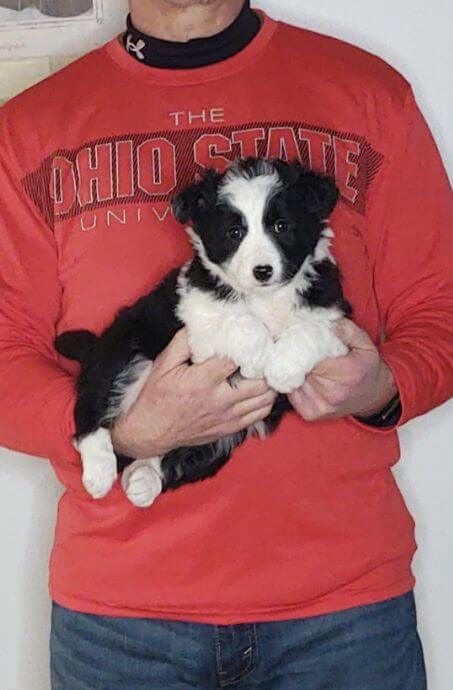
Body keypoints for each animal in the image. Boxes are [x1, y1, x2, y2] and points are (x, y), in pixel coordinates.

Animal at [56, 160, 352, 506]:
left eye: (282, 226)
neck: (265, 298)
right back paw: (99, 472)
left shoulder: (334, 321)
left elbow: (309, 332)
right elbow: (239, 323)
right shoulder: (198, 324)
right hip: (122, 350)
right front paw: (260, 358)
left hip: (217, 439)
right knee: (91, 412)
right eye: (234, 233)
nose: (262, 271)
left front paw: (282, 369)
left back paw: (143, 480)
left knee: (172, 456)